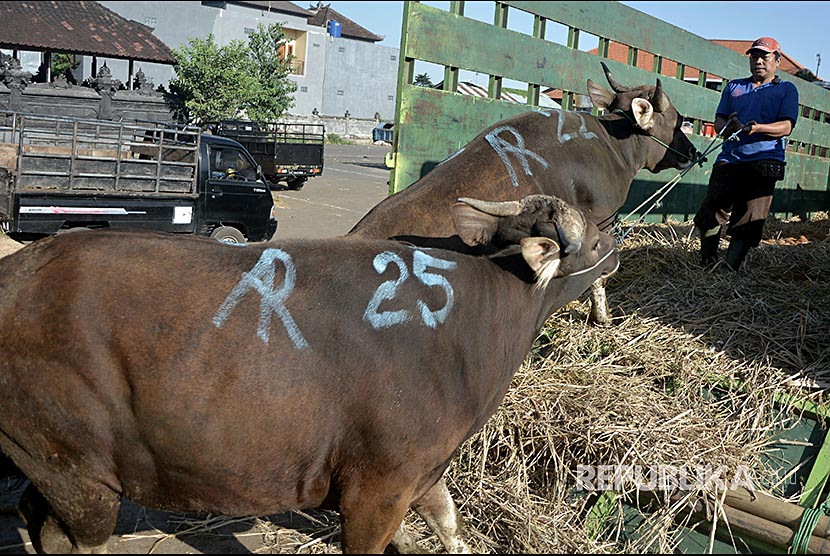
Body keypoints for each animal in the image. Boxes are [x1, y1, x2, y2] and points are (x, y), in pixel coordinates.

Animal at [0, 193, 616, 552]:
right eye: (593, 236)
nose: (617, 241)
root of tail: (18, 270)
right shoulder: (378, 486)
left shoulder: (423, 471)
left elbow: (448, 524)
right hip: (75, 469)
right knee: (71, 534)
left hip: (49, 461)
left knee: (36, 517)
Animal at [348, 60, 700, 324]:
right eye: (677, 119)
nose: (692, 152)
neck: (614, 145)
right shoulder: (602, 220)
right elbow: (599, 274)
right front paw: (602, 318)